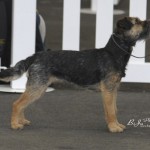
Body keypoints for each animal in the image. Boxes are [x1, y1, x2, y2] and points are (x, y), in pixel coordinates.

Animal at [0, 17, 150, 133]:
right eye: (137, 21)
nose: (148, 21)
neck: (113, 53)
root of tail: (35, 56)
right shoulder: (108, 90)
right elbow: (111, 110)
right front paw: (113, 127)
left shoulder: (113, 89)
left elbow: (114, 108)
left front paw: (116, 125)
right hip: (37, 87)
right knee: (17, 104)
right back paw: (15, 125)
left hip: (37, 87)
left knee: (22, 103)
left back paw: (22, 121)